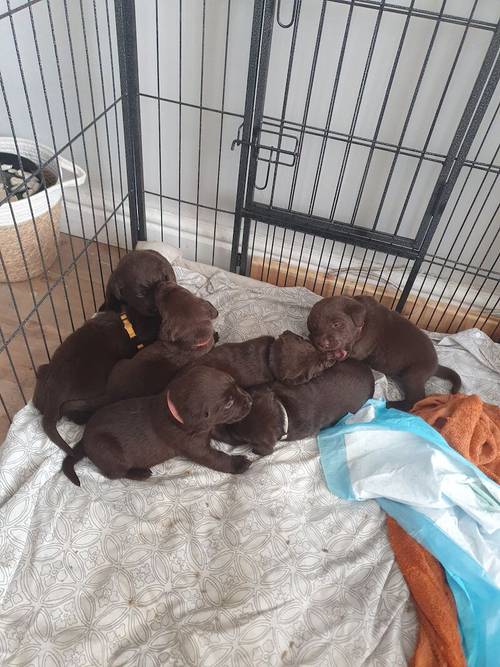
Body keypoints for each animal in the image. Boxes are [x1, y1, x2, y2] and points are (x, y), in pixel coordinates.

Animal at [62, 366, 254, 486]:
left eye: (236, 384)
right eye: (228, 403)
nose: (250, 401)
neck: (176, 415)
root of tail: (84, 440)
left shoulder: (208, 427)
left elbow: (220, 433)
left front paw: (240, 440)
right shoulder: (195, 447)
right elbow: (216, 458)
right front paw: (238, 464)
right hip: (108, 450)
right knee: (114, 473)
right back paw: (140, 473)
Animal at [308, 294, 460, 410]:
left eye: (337, 324)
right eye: (314, 328)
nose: (322, 343)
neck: (363, 322)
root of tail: (436, 366)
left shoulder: (362, 347)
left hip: (413, 374)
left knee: (416, 400)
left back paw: (391, 404)